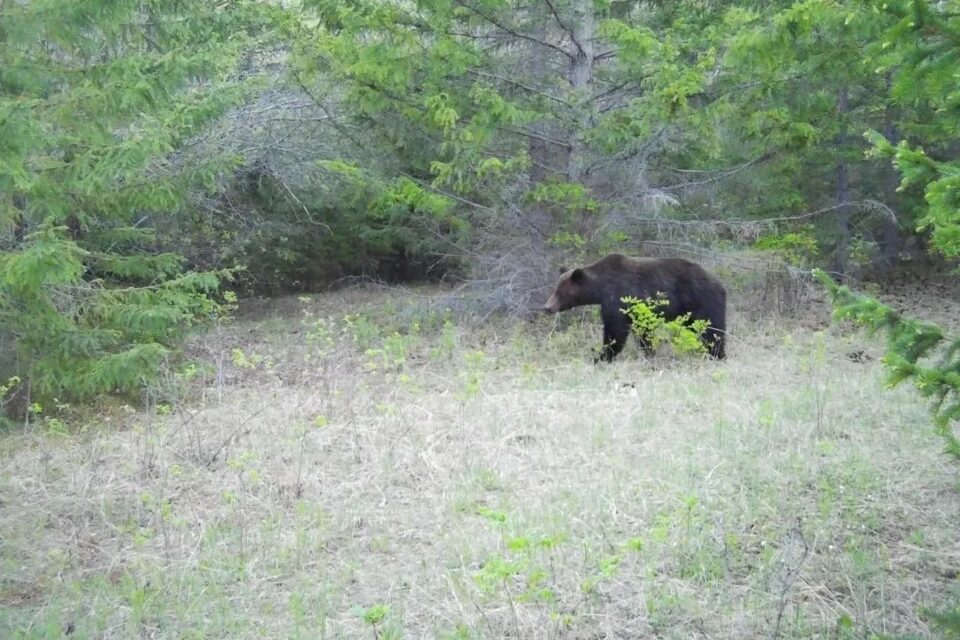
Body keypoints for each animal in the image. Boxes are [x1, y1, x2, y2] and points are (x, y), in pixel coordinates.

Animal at [543, 253, 726, 362]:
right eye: (555, 288)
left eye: (560, 292)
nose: (547, 307)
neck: (600, 287)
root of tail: (719, 283)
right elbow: (643, 332)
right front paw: (649, 353)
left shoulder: (619, 298)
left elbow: (615, 331)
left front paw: (602, 356)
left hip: (702, 301)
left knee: (712, 331)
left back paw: (717, 355)